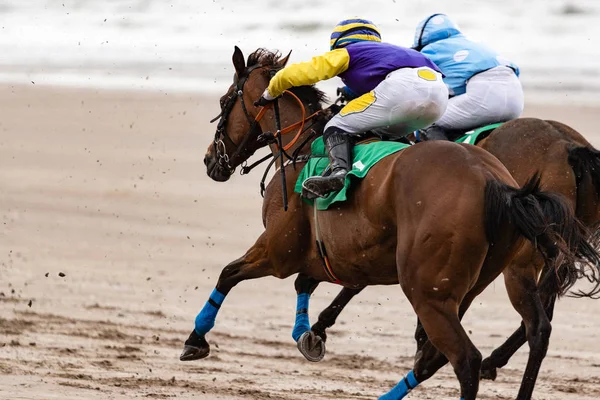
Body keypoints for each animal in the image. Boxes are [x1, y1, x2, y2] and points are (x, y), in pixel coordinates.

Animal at [310, 116, 600, 382]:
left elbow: (355, 280)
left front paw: (319, 325)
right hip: (555, 256)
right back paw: (491, 361)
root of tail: (569, 146)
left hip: (521, 263)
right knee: (542, 319)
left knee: (537, 325)